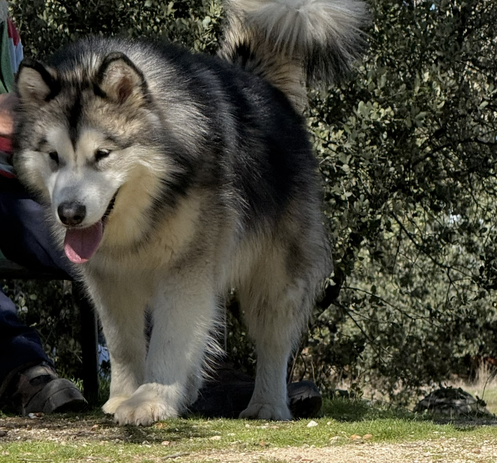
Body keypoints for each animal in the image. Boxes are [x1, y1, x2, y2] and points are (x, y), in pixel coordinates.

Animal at [13, 0, 367, 425]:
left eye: (102, 154)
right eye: (53, 156)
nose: (70, 213)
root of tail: (258, 82)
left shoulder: (185, 269)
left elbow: (170, 338)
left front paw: (151, 400)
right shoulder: (109, 279)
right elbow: (123, 343)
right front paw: (124, 396)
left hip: (275, 276)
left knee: (272, 339)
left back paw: (268, 403)